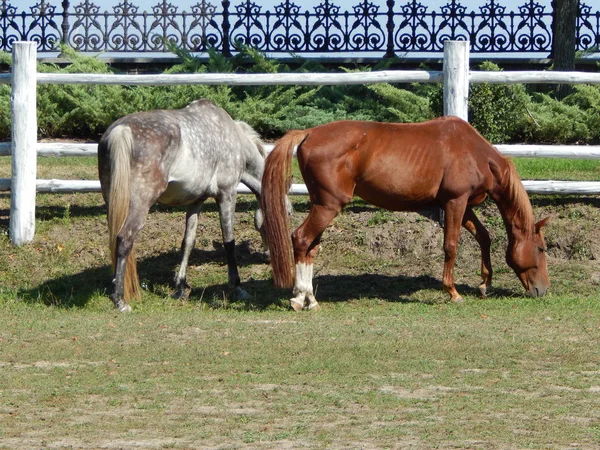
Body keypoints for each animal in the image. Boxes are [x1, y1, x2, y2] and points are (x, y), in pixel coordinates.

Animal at [98, 101, 268, 312]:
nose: (268, 256)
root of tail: (121, 130)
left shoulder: (196, 201)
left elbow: (188, 242)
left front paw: (179, 287)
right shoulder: (227, 194)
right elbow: (229, 241)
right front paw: (237, 287)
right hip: (139, 206)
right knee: (124, 239)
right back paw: (120, 300)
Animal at [260, 116, 552, 310]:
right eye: (541, 248)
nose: (543, 290)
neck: (474, 152)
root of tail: (309, 133)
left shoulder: (465, 205)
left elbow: (484, 237)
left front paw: (485, 284)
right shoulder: (455, 203)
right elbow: (451, 246)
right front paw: (453, 291)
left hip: (321, 206)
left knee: (310, 248)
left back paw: (309, 298)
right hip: (328, 206)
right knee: (300, 239)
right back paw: (299, 297)